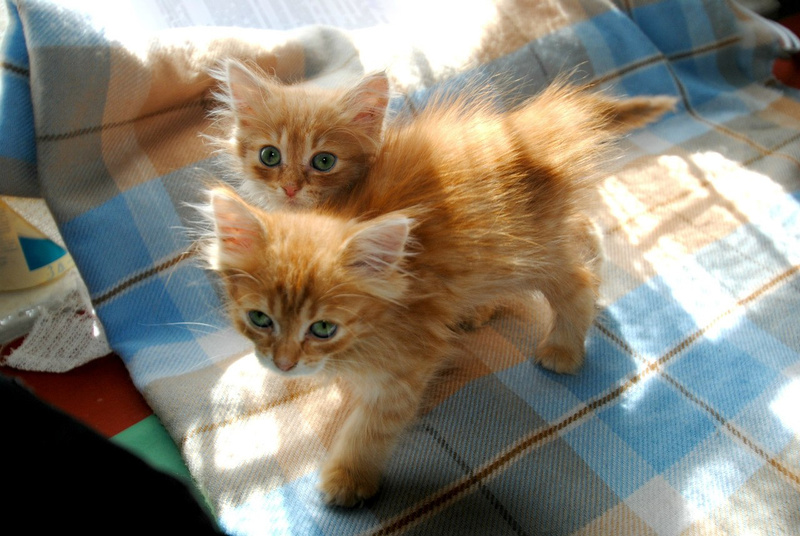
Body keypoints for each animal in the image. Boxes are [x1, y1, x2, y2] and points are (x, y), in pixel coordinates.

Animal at [203, 81, 675, 507]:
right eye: (259, 320)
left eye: (322, 328)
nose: (283, 365)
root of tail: (528, 132)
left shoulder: (411, 358)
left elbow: (372, 425)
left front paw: (349, 477)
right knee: (584, 230)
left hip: (525, 251)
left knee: (579, 282)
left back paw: (563, 348)